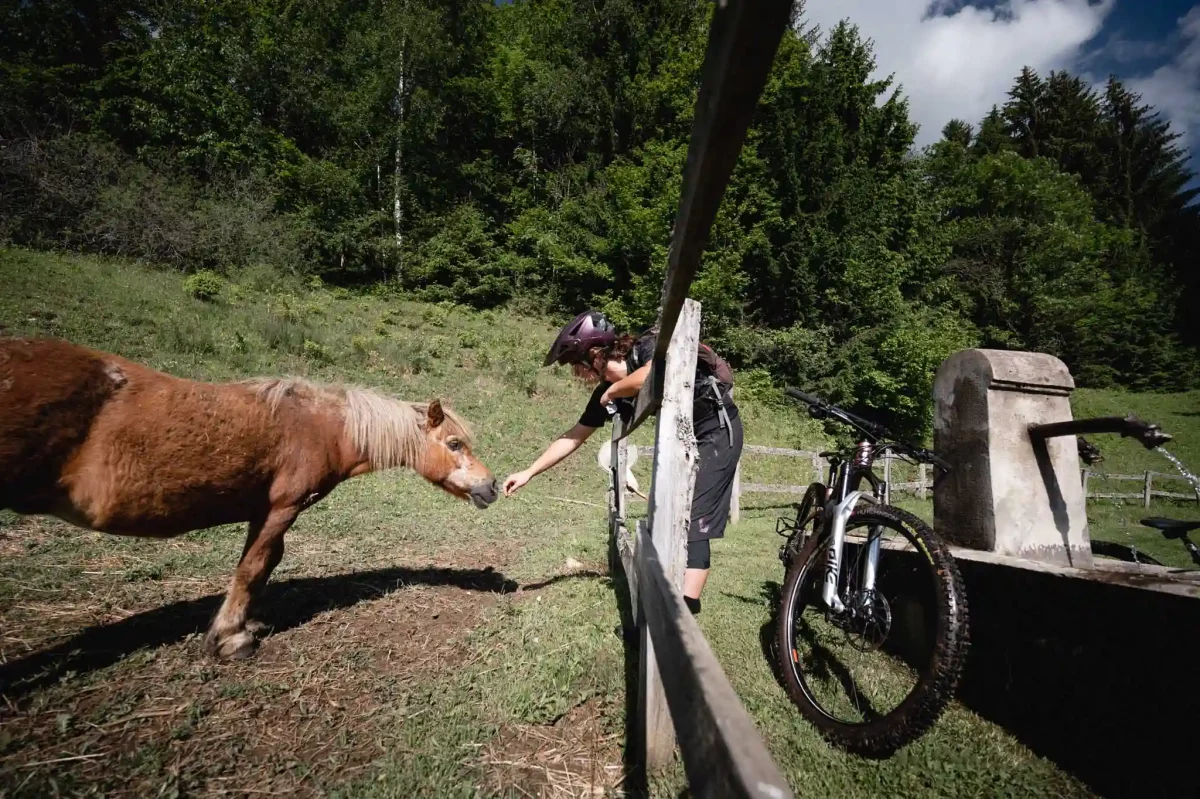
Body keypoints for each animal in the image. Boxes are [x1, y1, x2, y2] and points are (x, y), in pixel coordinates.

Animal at [0, 338, 496, 657]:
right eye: (454, 444)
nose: (491, 485)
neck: (321, 426)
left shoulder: (264, 511)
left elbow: (261, 564)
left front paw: (240, 624)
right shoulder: (282, 508)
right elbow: (254, 567)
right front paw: (230, 638)